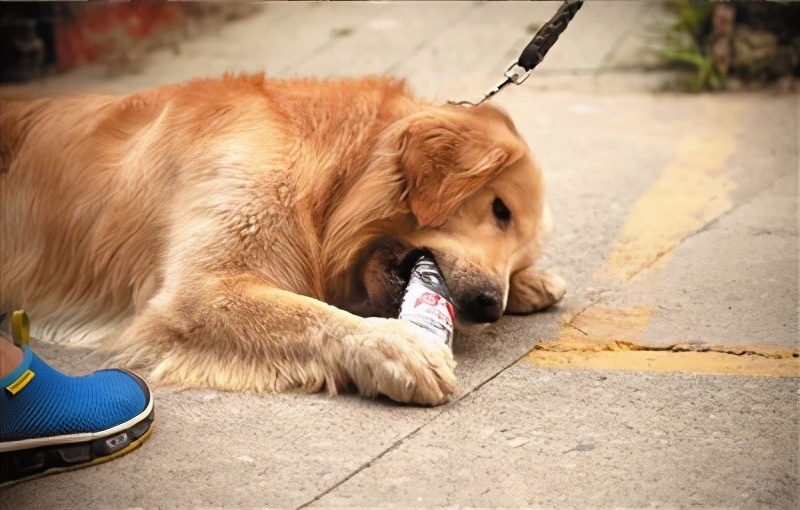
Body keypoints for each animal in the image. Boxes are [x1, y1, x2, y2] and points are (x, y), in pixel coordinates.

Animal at [0, 73, 564, 404]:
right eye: (499, 209)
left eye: (516, 257)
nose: (490, 305)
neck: (332, 175)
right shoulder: (199, 293)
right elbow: (316, 316)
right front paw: (400, 348)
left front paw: (532, 283)